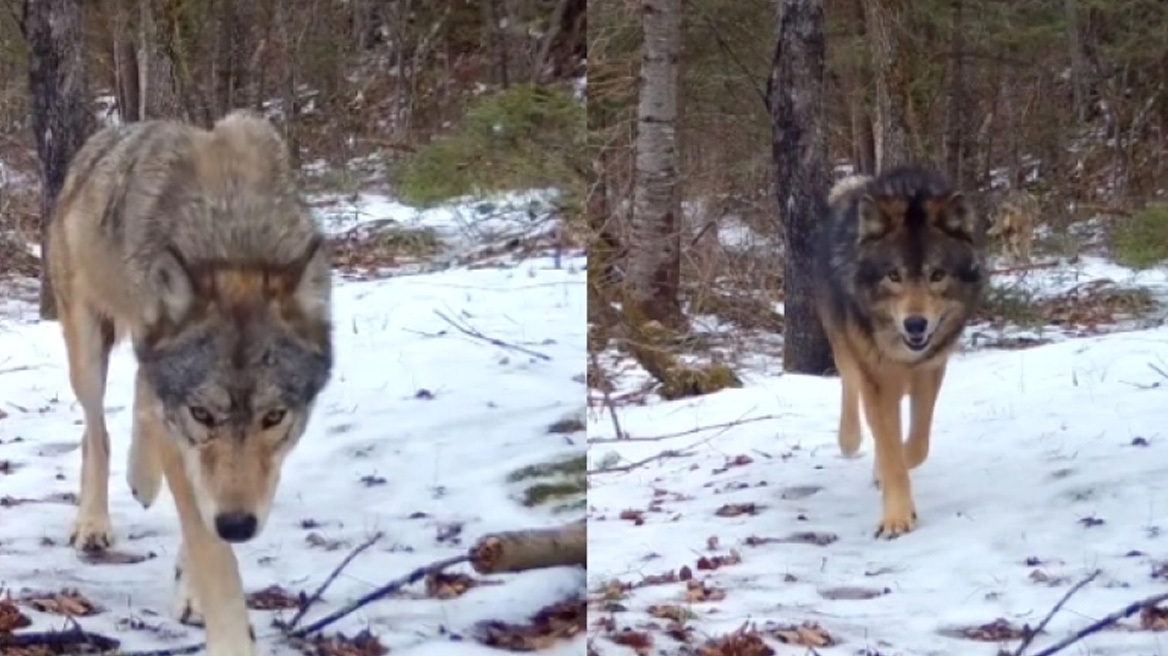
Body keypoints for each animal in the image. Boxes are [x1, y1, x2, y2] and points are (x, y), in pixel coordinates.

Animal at [49, 109, 334, 648]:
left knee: (142, 398)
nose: (239, 525)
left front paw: (192, 596)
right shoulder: (187, 438)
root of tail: (102, 137)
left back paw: (142, 479)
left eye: (274, 417)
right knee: (95, 432)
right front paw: (225, 629)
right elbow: (212, 552)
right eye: (203, 413)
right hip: (87, 353)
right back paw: (93, 523)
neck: (233, 235)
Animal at [817, 165, 990, 539]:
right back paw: (849, 440)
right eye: (893, 276)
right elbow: (891, 450)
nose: (915, 325)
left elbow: (915, 446)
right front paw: (896, 517)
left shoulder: (929, 369)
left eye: (937, 275)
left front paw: (884, 475)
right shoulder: (877, 378)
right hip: (845, 342)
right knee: (849, 383)